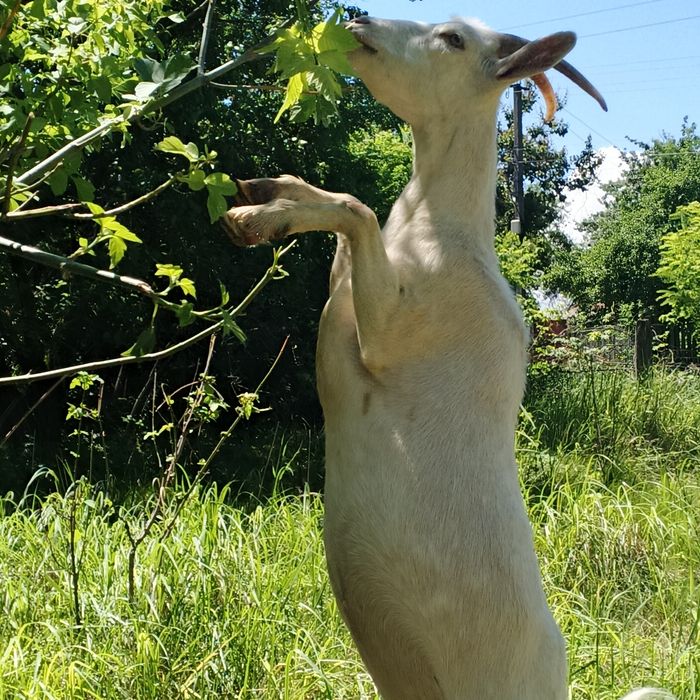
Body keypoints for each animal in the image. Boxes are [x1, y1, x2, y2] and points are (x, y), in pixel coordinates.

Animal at [221, 16, 673, 700]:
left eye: (454, 39)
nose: (357, 21)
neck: (443, 238)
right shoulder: (346, 296)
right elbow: (347, 208)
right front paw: (269, 193)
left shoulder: (389, 334)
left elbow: (356, 209)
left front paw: (254, 217)